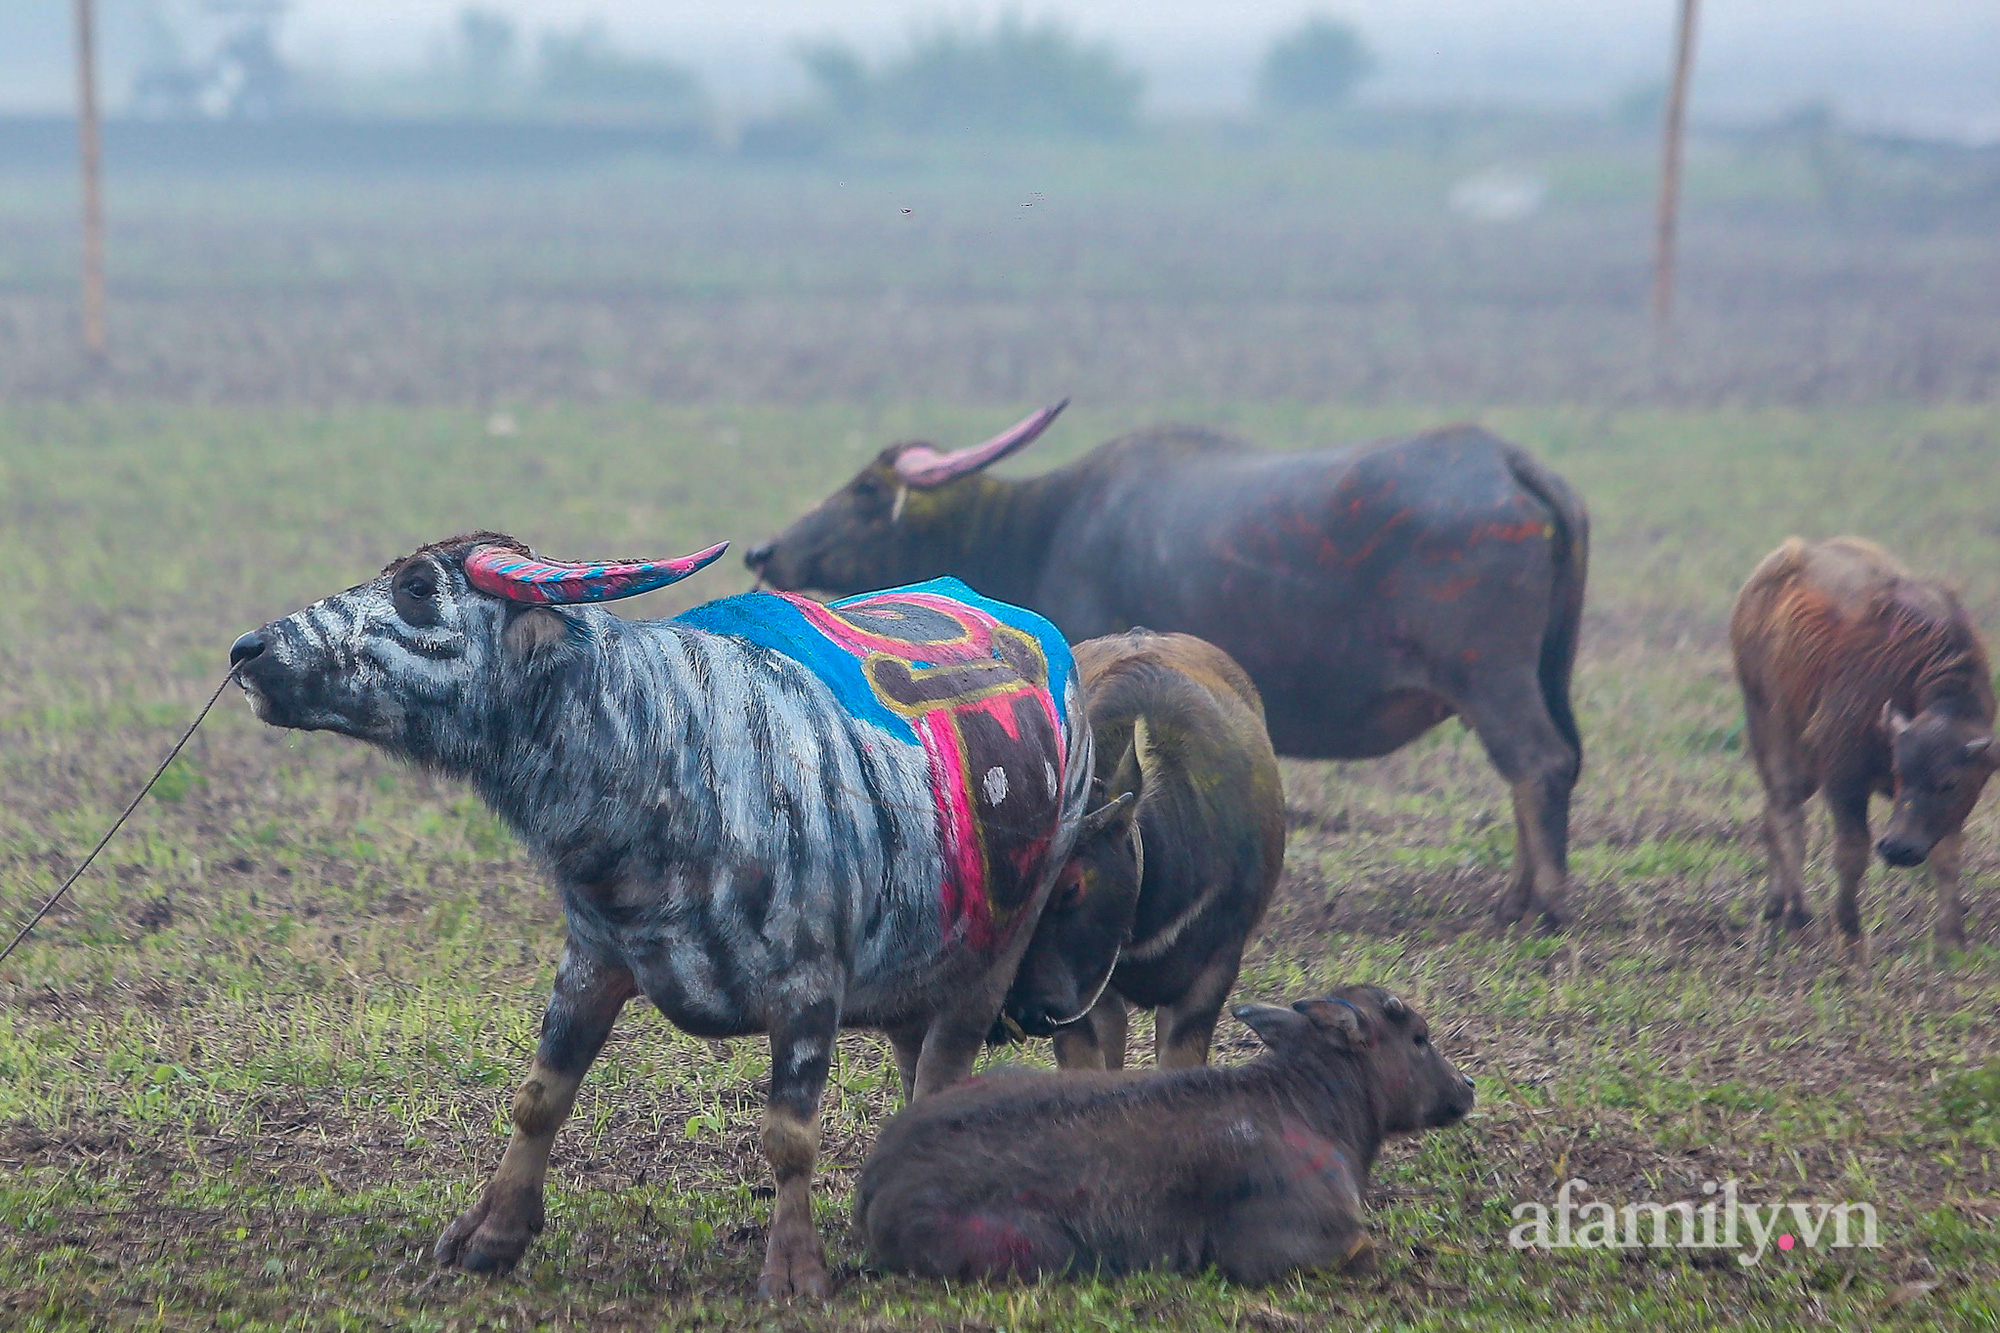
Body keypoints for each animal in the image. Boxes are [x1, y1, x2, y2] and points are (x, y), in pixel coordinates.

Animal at [230, 532, 1096, 1296]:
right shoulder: (591, 957)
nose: (249, 650)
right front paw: (492, 1230)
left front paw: (794, 1268)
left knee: (955, 1070)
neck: (664, 754)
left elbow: (788, 1137)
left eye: (416, 587)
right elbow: (540, 1096)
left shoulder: (810, 987)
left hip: (1003, 946)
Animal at [744, 404, 1584, 924]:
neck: (1044, 526)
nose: (763, 549)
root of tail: (1512, 465)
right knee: (1550, 764)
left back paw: (1540, 904)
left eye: (864, 490)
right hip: (1542, 672)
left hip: (1489, 675)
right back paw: (1518, 895)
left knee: (1536, 762)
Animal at [852, 976, 1480, 1280]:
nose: (1468, 1086)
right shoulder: (1291, 1249)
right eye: (1419, 1038)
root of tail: (877, 1177)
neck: (1312, 1108)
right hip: (1045, 1252)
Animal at [1728, 536, 1992, 948]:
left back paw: (1775, 905)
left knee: (1772, 814)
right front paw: (1850, 935)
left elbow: (1947, 857)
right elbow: (1852, 852)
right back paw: (1796, 913)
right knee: (1788, 815)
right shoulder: (1843, 773)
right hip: (1770, 728)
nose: (1897, 848)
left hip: (1805, 762)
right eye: (1899, 770)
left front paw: (1950, 941)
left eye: (1949, 782)